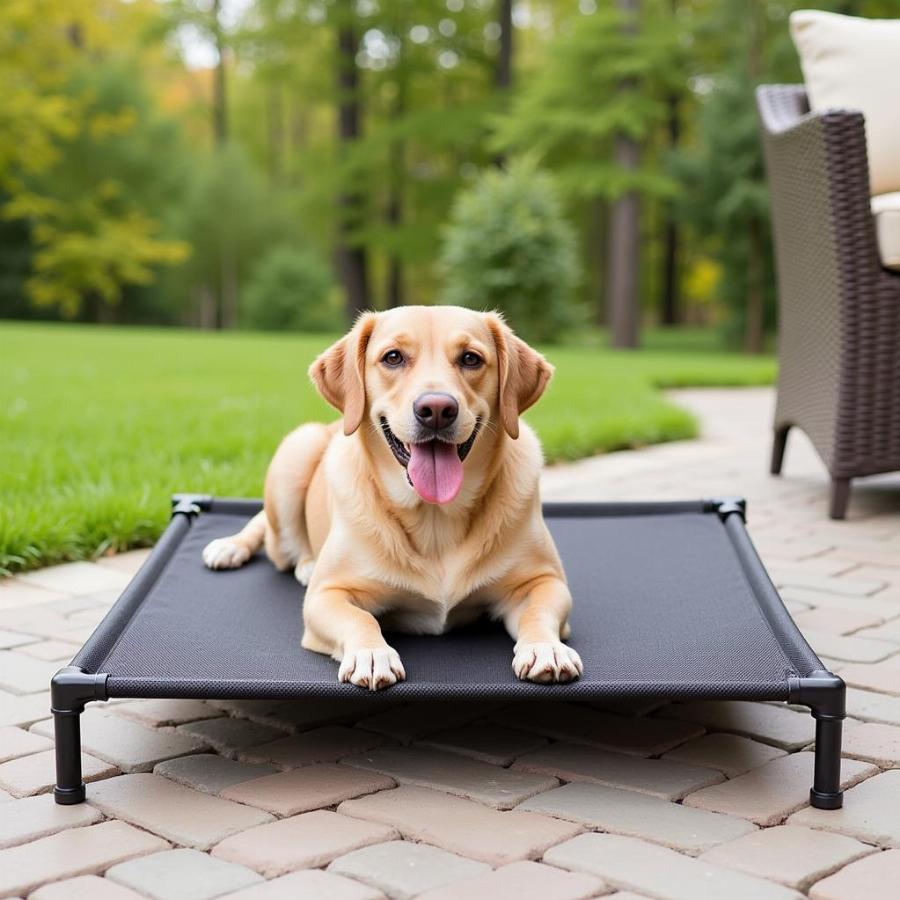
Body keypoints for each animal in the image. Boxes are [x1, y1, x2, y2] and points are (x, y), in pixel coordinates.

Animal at [200, 306, 580, 692]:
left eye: (471, 358)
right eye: (393, 357)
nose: (437, 409)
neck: (434, 517)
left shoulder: (545, 581)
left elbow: (538, 611)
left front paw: (546, 648)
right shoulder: (326, 596)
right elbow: (360, 619)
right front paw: (371, 654)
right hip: (297, 449)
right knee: (276, 538)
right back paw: (263, 553)